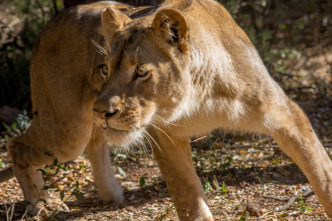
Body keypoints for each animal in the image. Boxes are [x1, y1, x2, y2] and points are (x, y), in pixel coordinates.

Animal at [92, 0, 332, 219]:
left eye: (141, 71)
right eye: (105, 69)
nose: (101, 112)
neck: (200, 97)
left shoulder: (286, 114)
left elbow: (321, 174)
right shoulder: (165, 134)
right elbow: (187, 194)